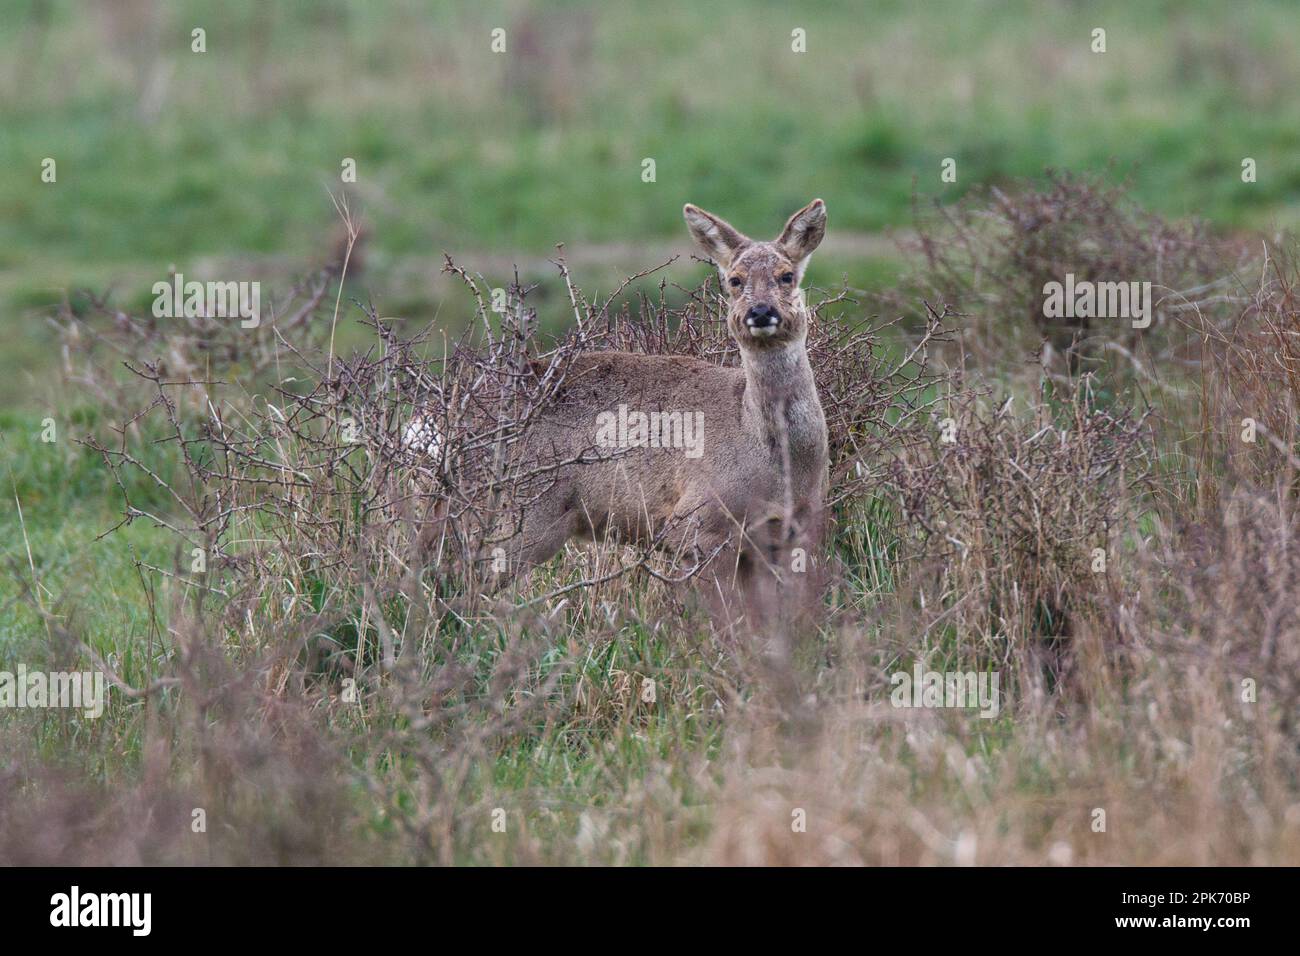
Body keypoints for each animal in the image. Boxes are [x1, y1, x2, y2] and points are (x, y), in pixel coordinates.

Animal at [408, 197, 832, 624]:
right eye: (735, 280)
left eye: (786, 276)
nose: (760, 312)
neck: (773, 457)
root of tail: (456, 425)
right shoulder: (697, 522)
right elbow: (724, 618)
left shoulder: (786, 535)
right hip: (520, 511)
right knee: (460, 579)